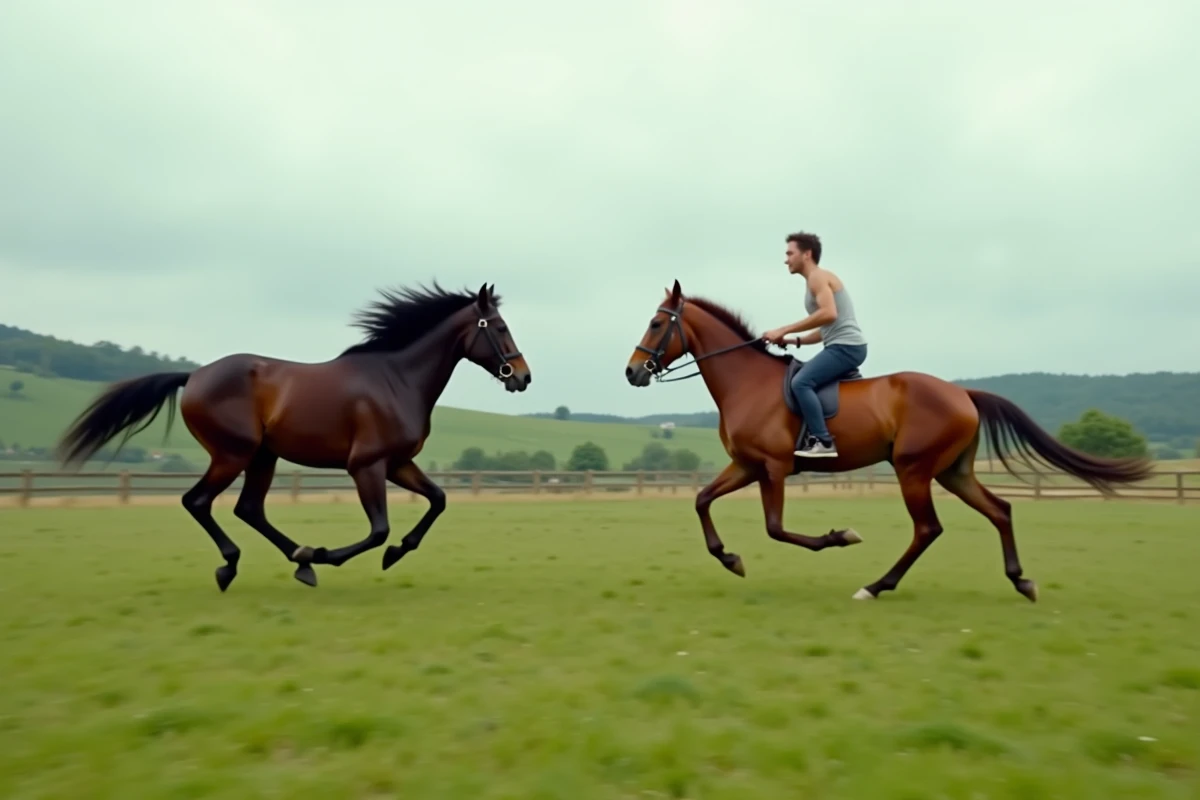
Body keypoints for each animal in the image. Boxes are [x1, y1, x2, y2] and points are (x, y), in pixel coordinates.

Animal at [56, 282, 531, 592]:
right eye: (500, 327)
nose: (523, 377)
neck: (397, 380)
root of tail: (194, 376)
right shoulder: (367, 465)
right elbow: (379, 529)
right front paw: (331, 554)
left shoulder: (398, 463)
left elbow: (438, 500)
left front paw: (396, 552)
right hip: (233, 453)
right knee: (199, 501)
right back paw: (241, 565)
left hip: (263, 456)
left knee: (248, 509)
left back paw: (298, 560)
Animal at [624, 280, 1155, 602]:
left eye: (656, 323)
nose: (632, 372)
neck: (747, 383)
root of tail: (962, 393)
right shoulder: (746, 466)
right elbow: (701, 499)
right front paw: (729, 558)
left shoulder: (772, 468)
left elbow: (776, 528)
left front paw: (839, 536)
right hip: (952, 472)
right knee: (999, 510)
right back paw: (1020, 580)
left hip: (913, 469)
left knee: (927, 529)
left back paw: (877, 585)